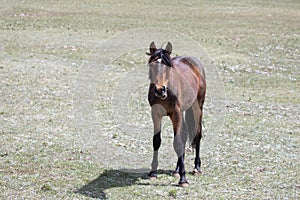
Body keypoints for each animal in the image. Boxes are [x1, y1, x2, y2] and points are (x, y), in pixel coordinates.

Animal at [145, 41, 206, 188]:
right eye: (152, 65)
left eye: (168, 68)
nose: (159, 90)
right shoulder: (155, 114)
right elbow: (157, 141)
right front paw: (153, 172)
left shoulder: (176, 113)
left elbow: (177, 142)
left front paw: (183, 179)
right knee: (184, 135)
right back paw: (177, 170)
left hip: (197, 108)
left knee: (198, 134)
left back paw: (196, 168)